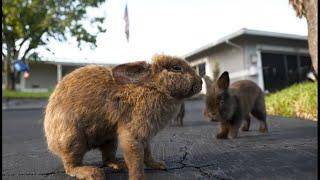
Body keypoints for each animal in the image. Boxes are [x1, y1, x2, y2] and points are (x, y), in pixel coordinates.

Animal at [43, 54, 201, 180]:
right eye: (176, 68)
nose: (200, 82)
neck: (153, 87)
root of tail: (52, 143)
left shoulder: (145, 135)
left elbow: (147, 153)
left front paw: (158, 165)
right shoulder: (133, 133)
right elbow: (136, 158)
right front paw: (138, 178)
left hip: (110, 139)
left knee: (107, 158)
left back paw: (119, 164)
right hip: (74, 139)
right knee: (71, 166)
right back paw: (93, 173)